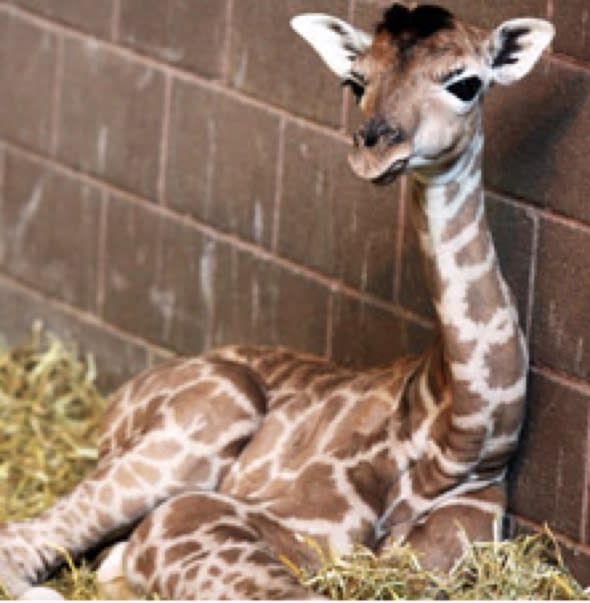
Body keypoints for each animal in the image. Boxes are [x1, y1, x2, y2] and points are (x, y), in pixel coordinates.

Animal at [0, 2, 556, 600]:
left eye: (466, 83)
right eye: (355, 81)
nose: (374, 147)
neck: (459, 442)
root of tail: (118, 402)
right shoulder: (196, 516)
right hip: (222, 404)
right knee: (25, 538)